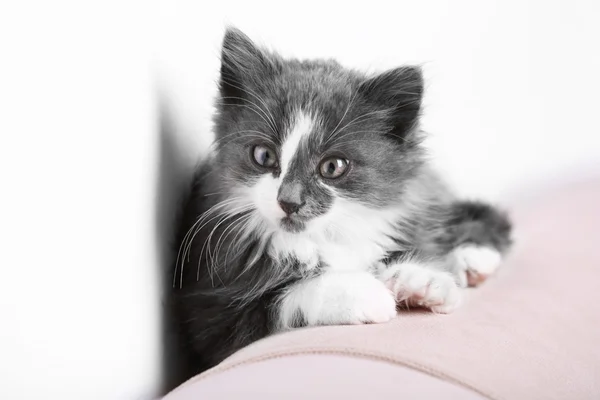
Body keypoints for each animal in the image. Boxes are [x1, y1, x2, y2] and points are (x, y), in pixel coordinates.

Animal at [169, 27, 510, 378]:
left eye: (332, 167)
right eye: (263, 156)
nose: (288, 200)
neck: (322, 237)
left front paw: (421, 280)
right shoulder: (209, 313)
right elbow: (287, 296)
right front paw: (367, 292)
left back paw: (471, 259)